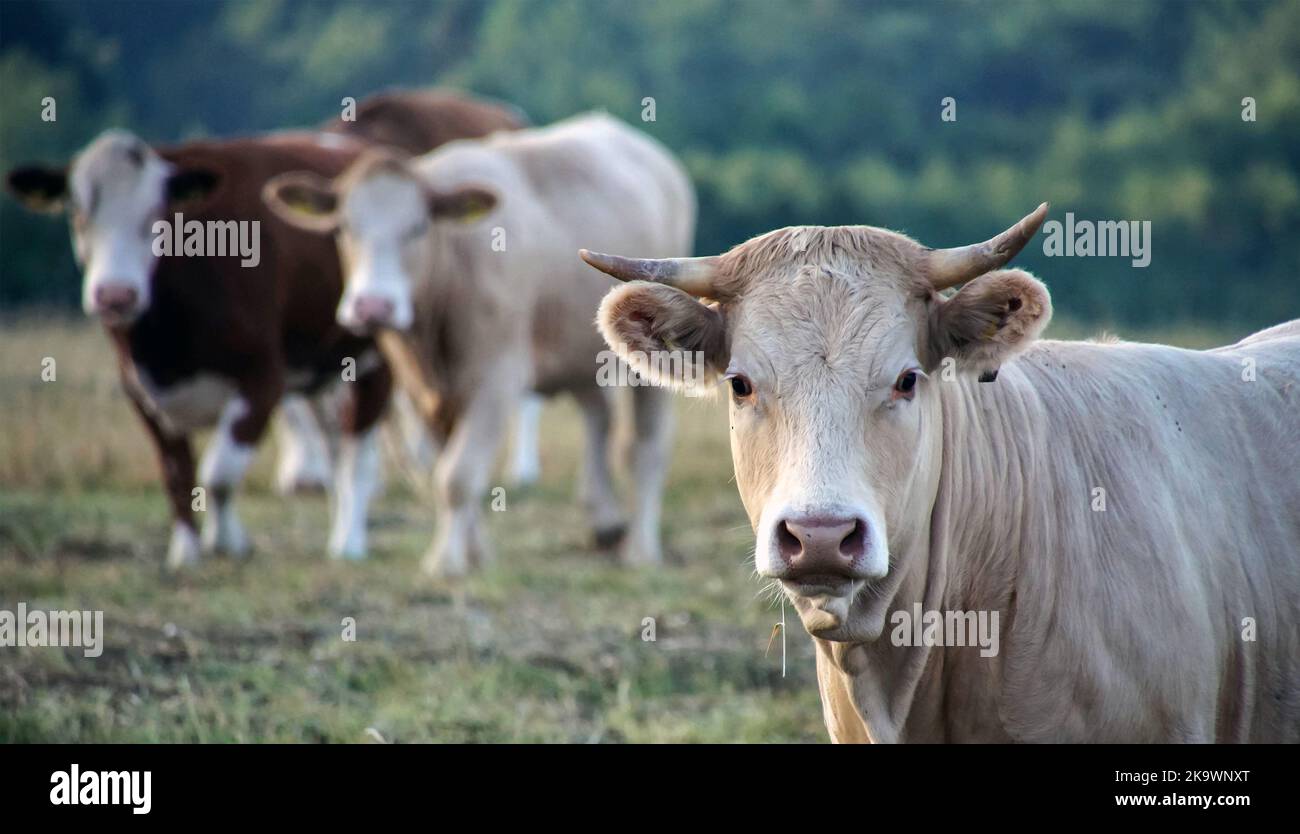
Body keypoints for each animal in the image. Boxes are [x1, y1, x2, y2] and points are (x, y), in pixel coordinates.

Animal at [262, 113, 691, 574]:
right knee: (600, 420)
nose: (373, 306)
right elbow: (444, 468)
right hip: (578, 354)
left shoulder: (495, 378)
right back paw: (605, 520)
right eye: (344, 227)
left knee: (644, 448)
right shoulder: (424, 393)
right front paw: (474, 553)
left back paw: (641, 549)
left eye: (417, 227)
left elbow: (457, 475)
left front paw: (445, 562)